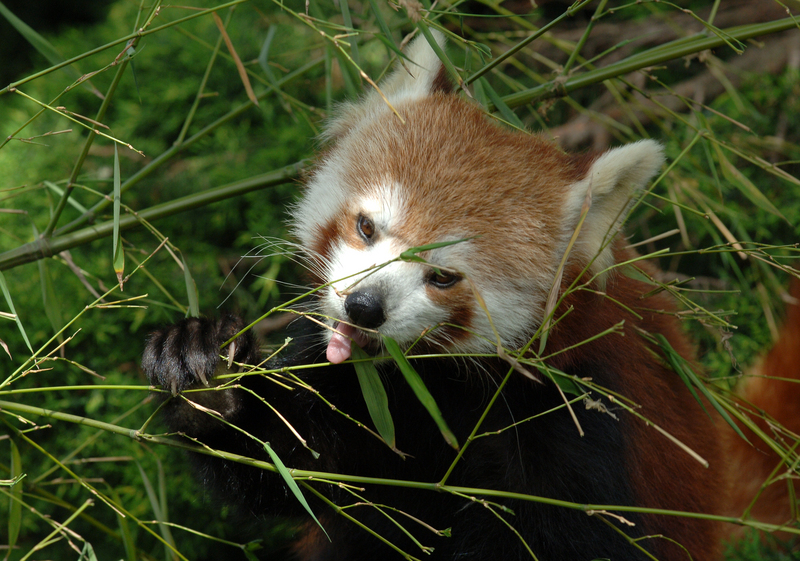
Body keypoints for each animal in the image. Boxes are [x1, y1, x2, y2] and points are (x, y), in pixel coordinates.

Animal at [142, 30, 800, 560]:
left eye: (442, 277)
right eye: (366, 228)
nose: (364, 308)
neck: (435, 389)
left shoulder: (585, 414)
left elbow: (579, 537)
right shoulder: (364, 395)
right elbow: (295, 466)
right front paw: (206, 375)